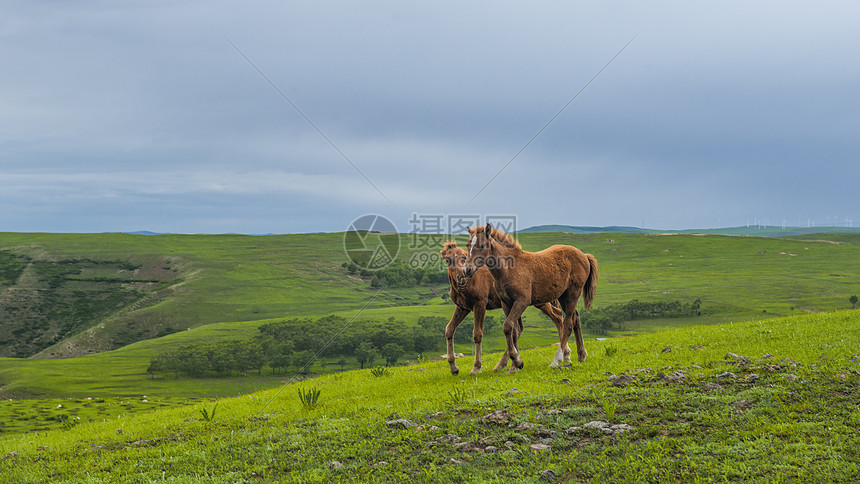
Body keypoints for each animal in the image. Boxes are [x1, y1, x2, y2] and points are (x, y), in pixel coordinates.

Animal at [440, 241, 568, 374]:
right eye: (447, 260)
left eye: (464, 257)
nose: (462, 279)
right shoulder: (462, 308)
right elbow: (449, 329)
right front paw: (453, 368)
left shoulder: (480, 304)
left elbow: (477, 334)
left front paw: (476, 367)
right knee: (521, 327)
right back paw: (504, 364)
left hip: (539, 300)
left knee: (557, 315)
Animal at [464, 225, 596, 372]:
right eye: (468, 245)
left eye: (481, 245)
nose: (467, 270)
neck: (508, 268)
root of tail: (584, 255)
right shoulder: (506, 303)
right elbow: (514, 331)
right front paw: (515, 365)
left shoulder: (522, 301)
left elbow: (507, 327)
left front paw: (516, 361)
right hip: (563, 296)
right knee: (575, 318)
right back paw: (581, 356)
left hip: (573, 293)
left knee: (568, 323)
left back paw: (556, 360)